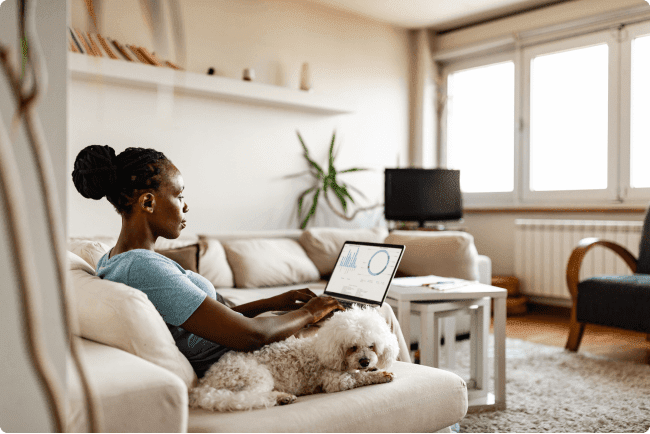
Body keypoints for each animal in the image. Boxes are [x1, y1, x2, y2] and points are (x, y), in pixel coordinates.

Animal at [187, 304, 398, 412]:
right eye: (352, 347)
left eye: (371, 346)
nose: (365, 361)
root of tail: (205, 384)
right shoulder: (334, 380)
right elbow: (359, 377)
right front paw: (380, 375)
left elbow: (361, 372)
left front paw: (373, 369)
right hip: (255, 376)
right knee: (247, 398)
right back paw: (282, 398)